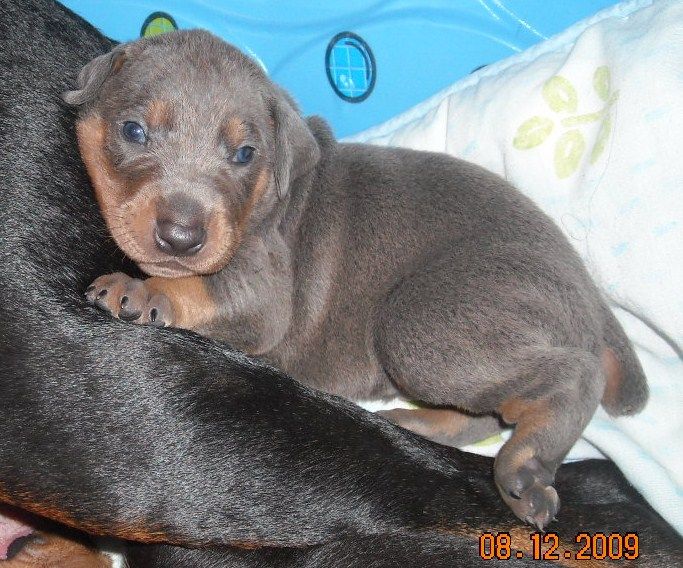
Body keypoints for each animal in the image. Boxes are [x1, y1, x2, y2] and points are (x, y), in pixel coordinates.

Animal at [0, 1, 680, 568]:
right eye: (134, 130)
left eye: (244, 153)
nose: (182, 235)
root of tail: (587, 290)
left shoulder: (265, 290)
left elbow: (207, 294)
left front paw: (140, 292)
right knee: (490, 410)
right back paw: (424, 425)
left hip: (431, 321)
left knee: (568, 377)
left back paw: (528, 460)